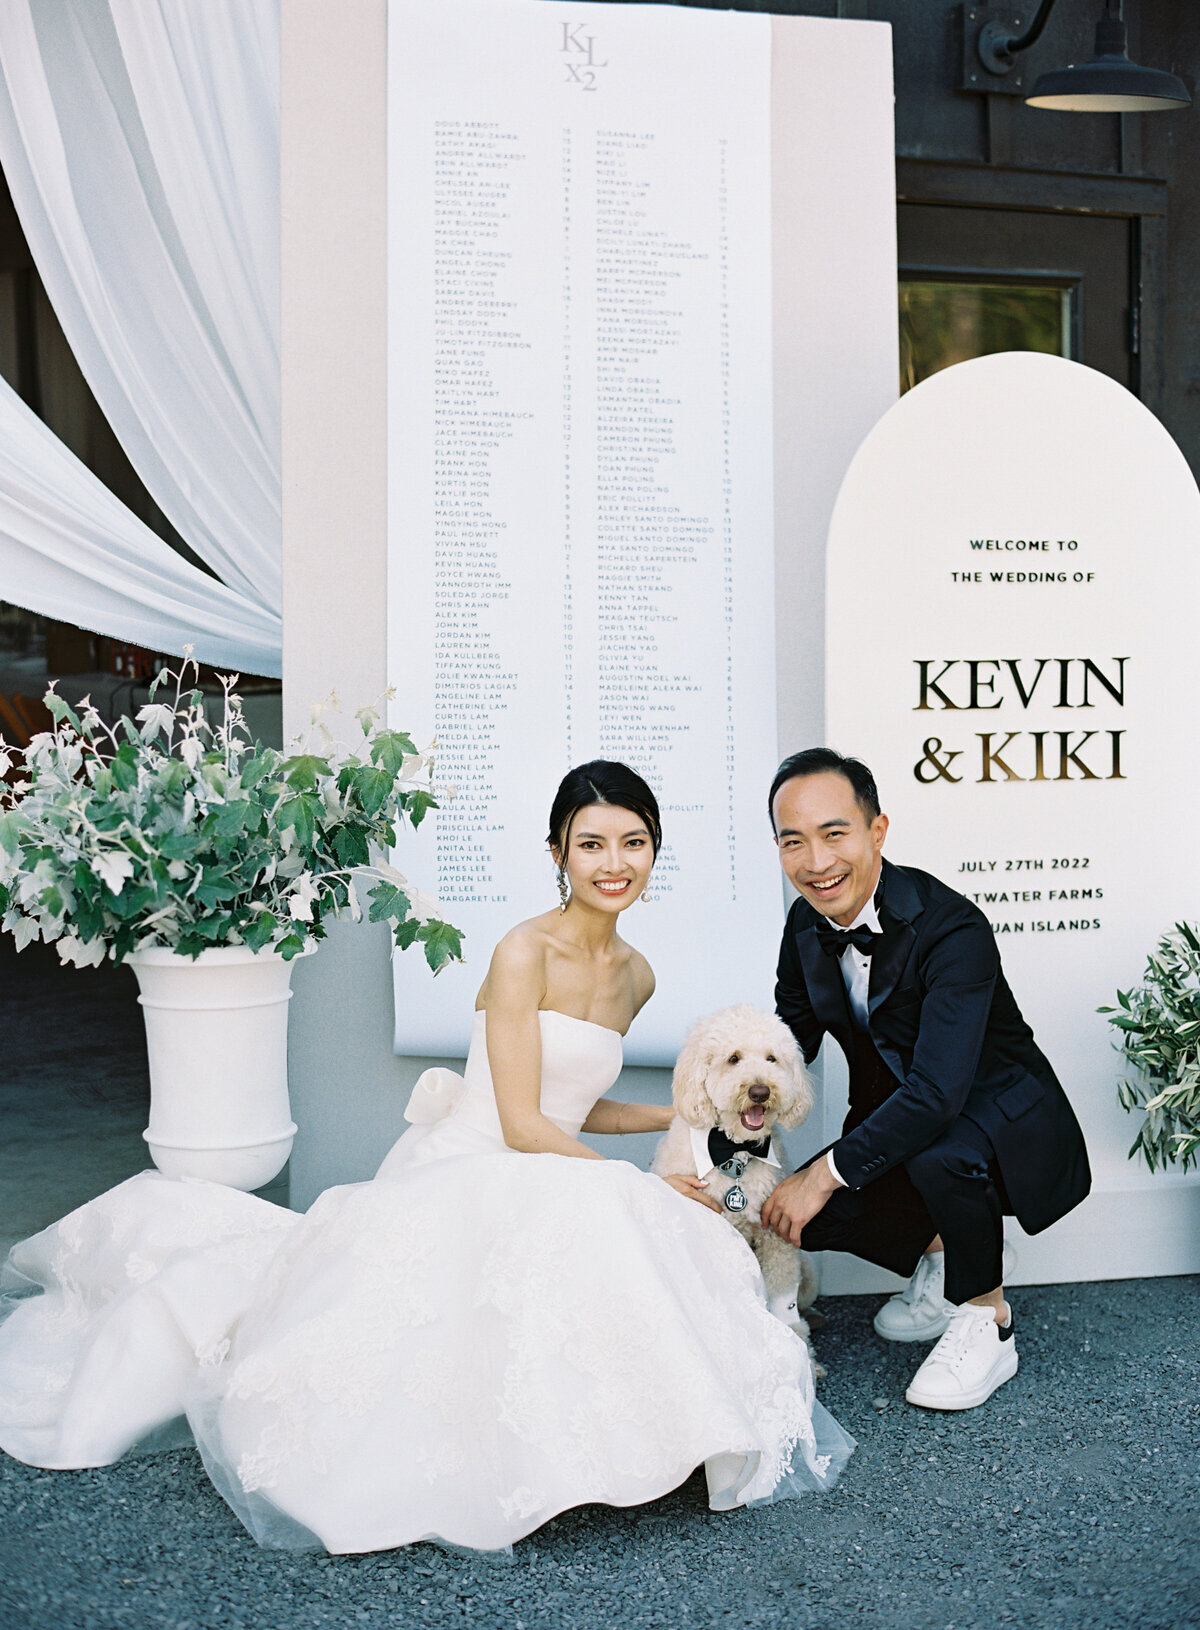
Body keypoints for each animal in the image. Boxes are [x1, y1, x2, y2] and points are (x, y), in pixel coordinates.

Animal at [652, 1004, 821, 1362]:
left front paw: (801, 1352)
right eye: (733, 1058)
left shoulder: (777, 1237)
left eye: (772, 1058)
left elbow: (782, 1298)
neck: (735, 1153)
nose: (760, 1091)